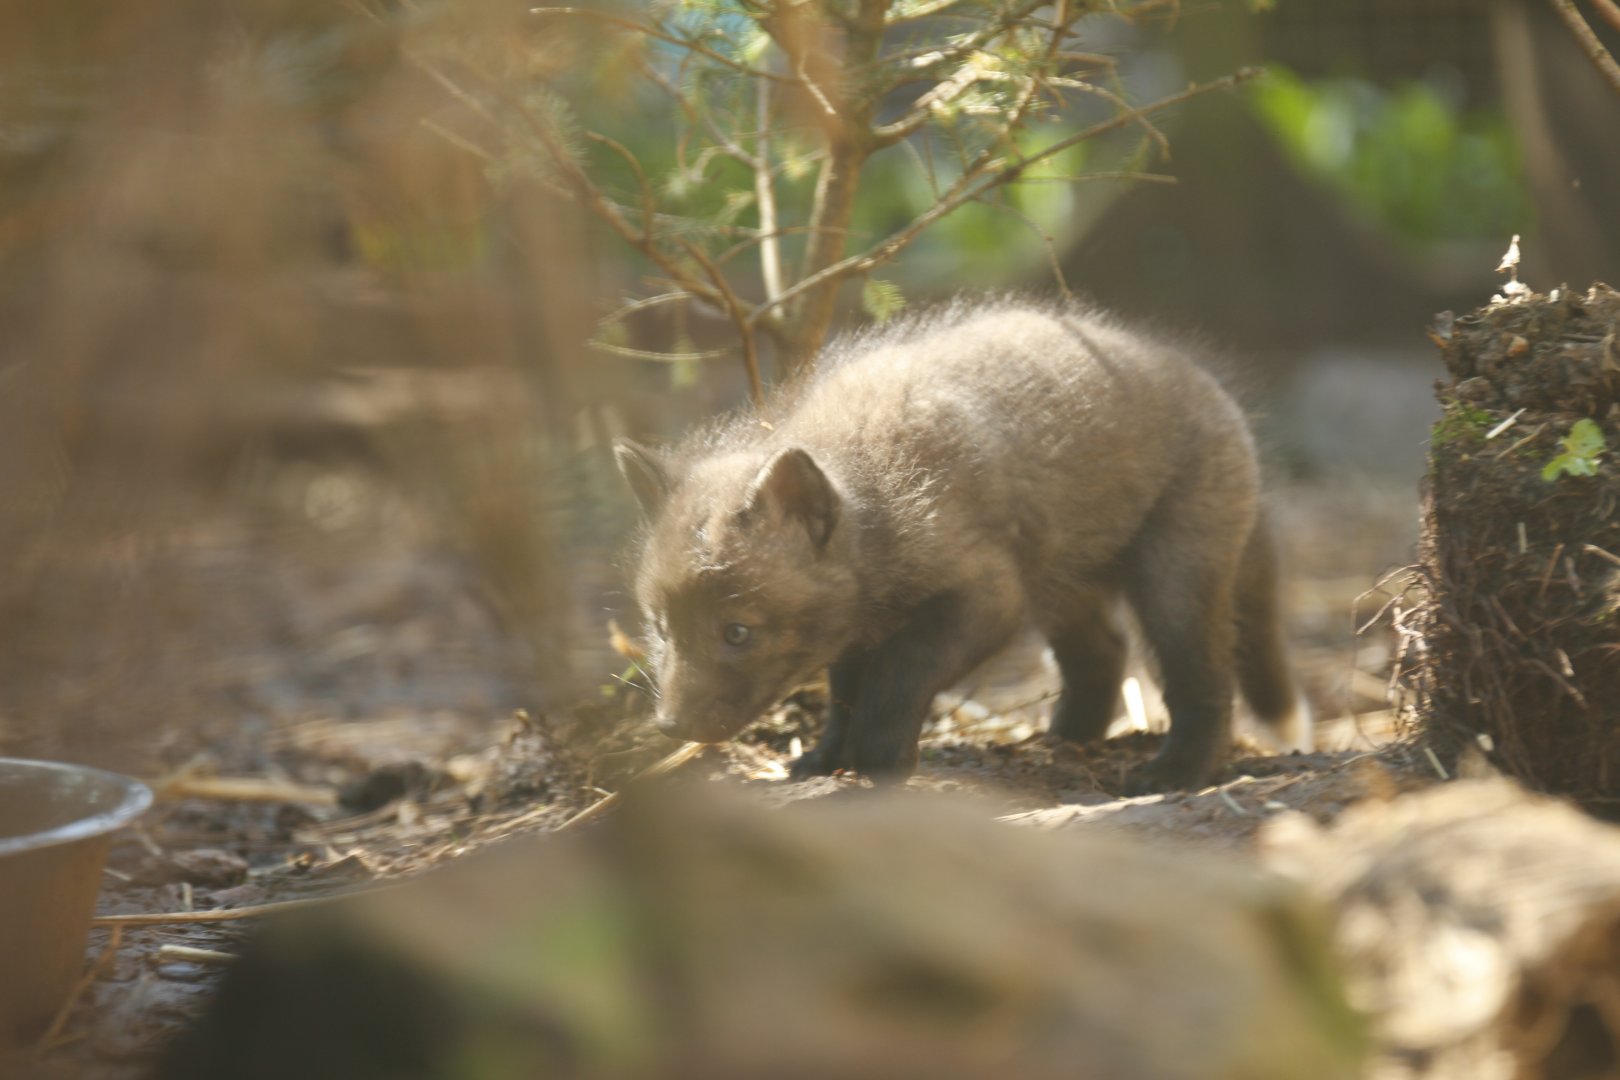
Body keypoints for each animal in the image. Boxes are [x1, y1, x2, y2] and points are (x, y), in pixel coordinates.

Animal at [614, 300, 1310, 792]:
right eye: (661, 628)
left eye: (738, 632)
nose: (670, 726)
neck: (877, 493)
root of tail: (1218, 393)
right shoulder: (856, 619)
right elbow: (844, 691)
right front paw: (826, 757)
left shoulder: (986, 598)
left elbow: (898, 676)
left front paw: (880, 758)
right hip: (1062, 575)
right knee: (1105, 656)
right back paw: (1062, 743)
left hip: (1175, 575)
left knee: (1204, 679)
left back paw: (1177, 773)